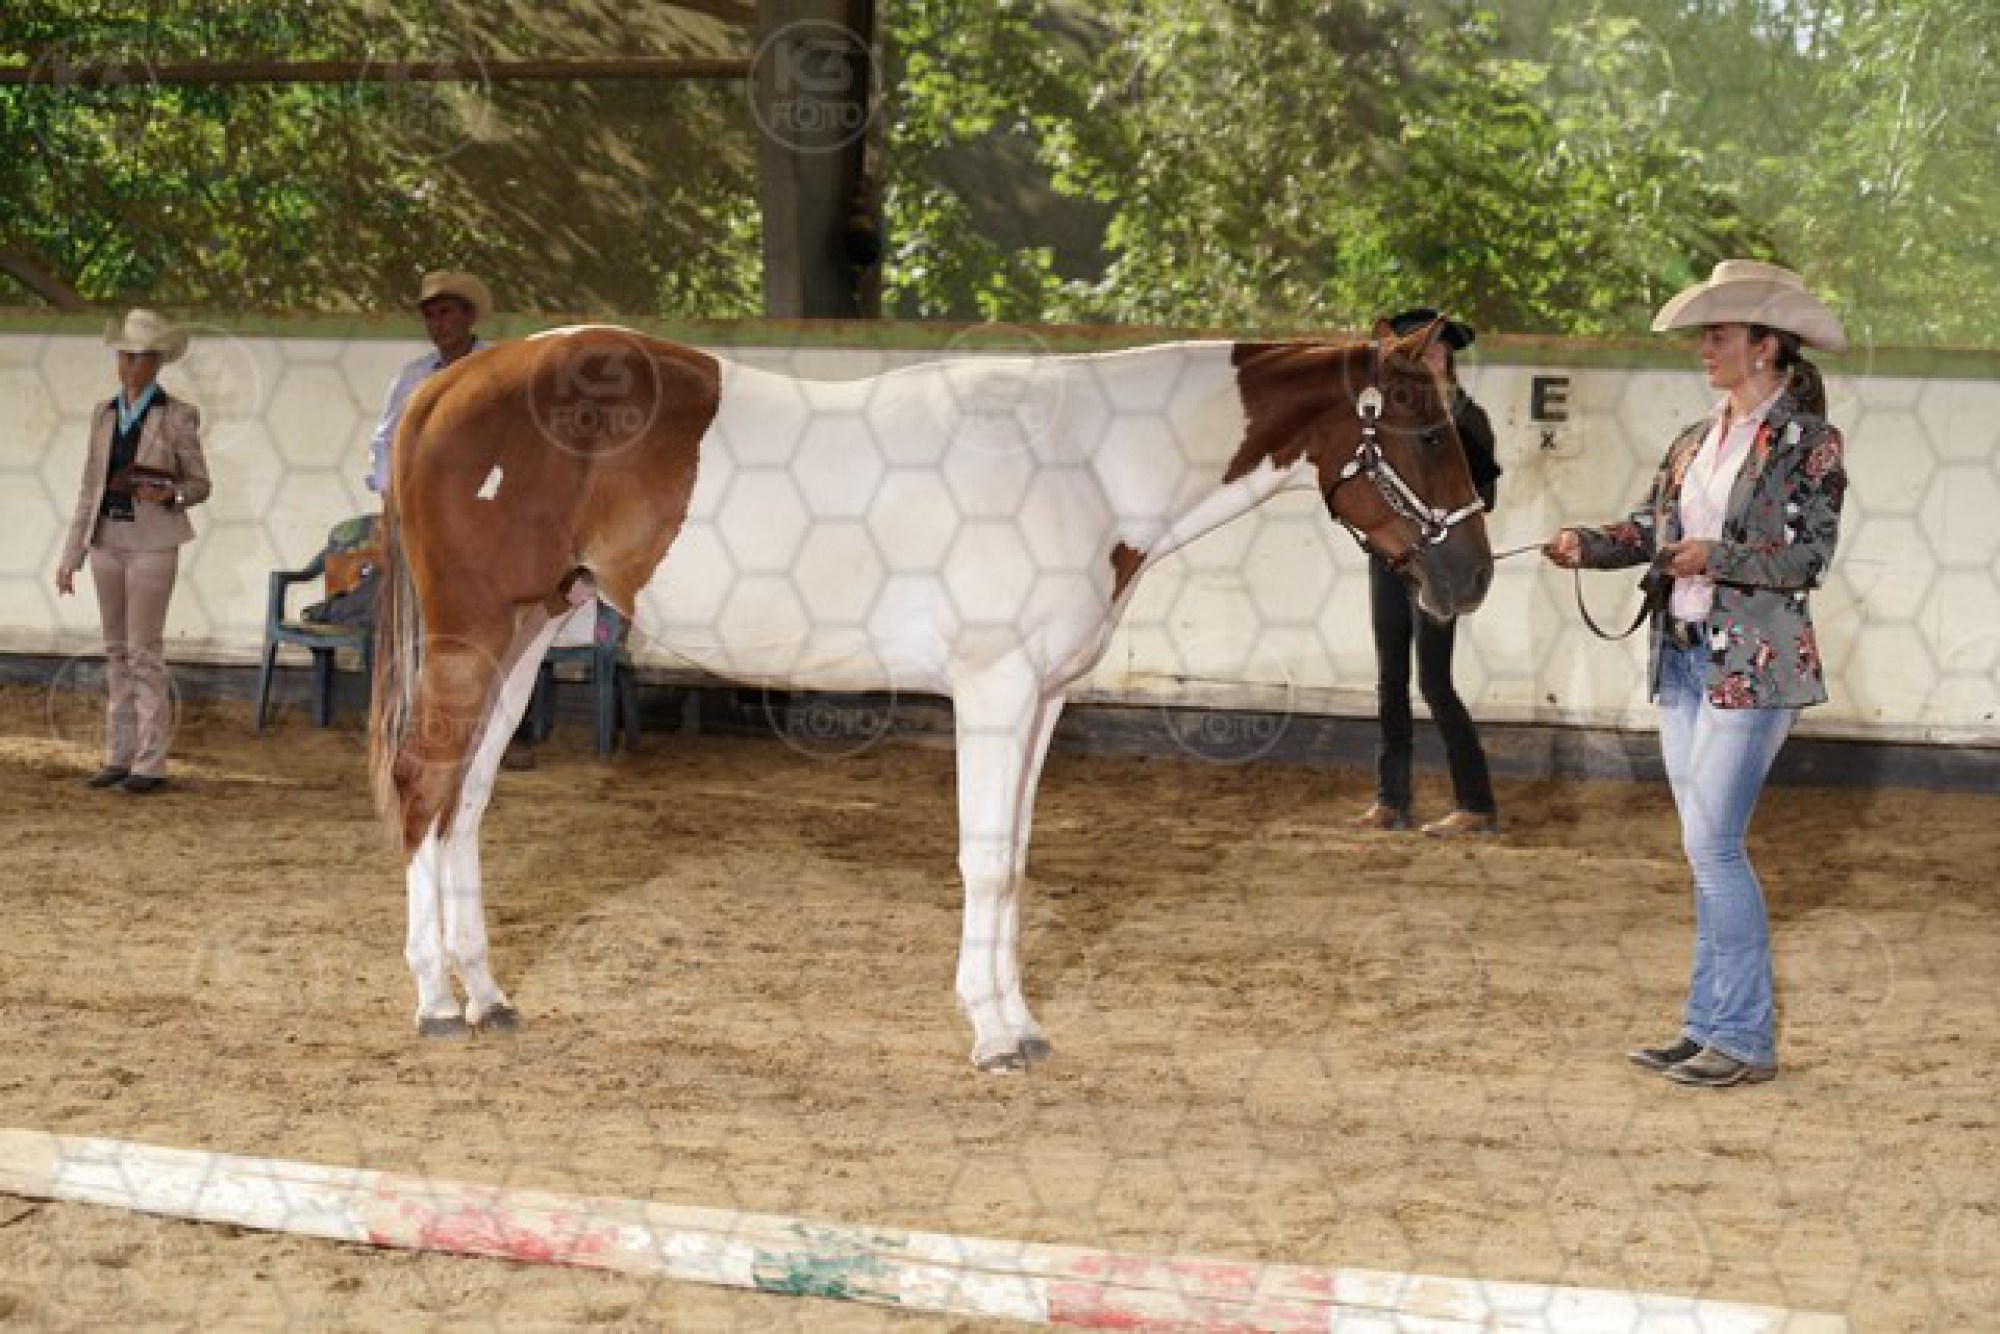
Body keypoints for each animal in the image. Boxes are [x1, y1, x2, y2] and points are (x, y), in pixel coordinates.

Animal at [369, 322, 1492, 1071]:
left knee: (466, 802)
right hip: (478, 634)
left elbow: (1016, 864)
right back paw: (433, 999)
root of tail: (451, 383)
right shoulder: (992, 687)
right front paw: (993, 1033)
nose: (1471, 579)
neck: (1088, 460)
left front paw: (1018, 1022)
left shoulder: (1043, 699)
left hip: (530, 636)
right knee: (425, 785)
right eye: (1431, 432)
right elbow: (984, 862)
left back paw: (486, 994)